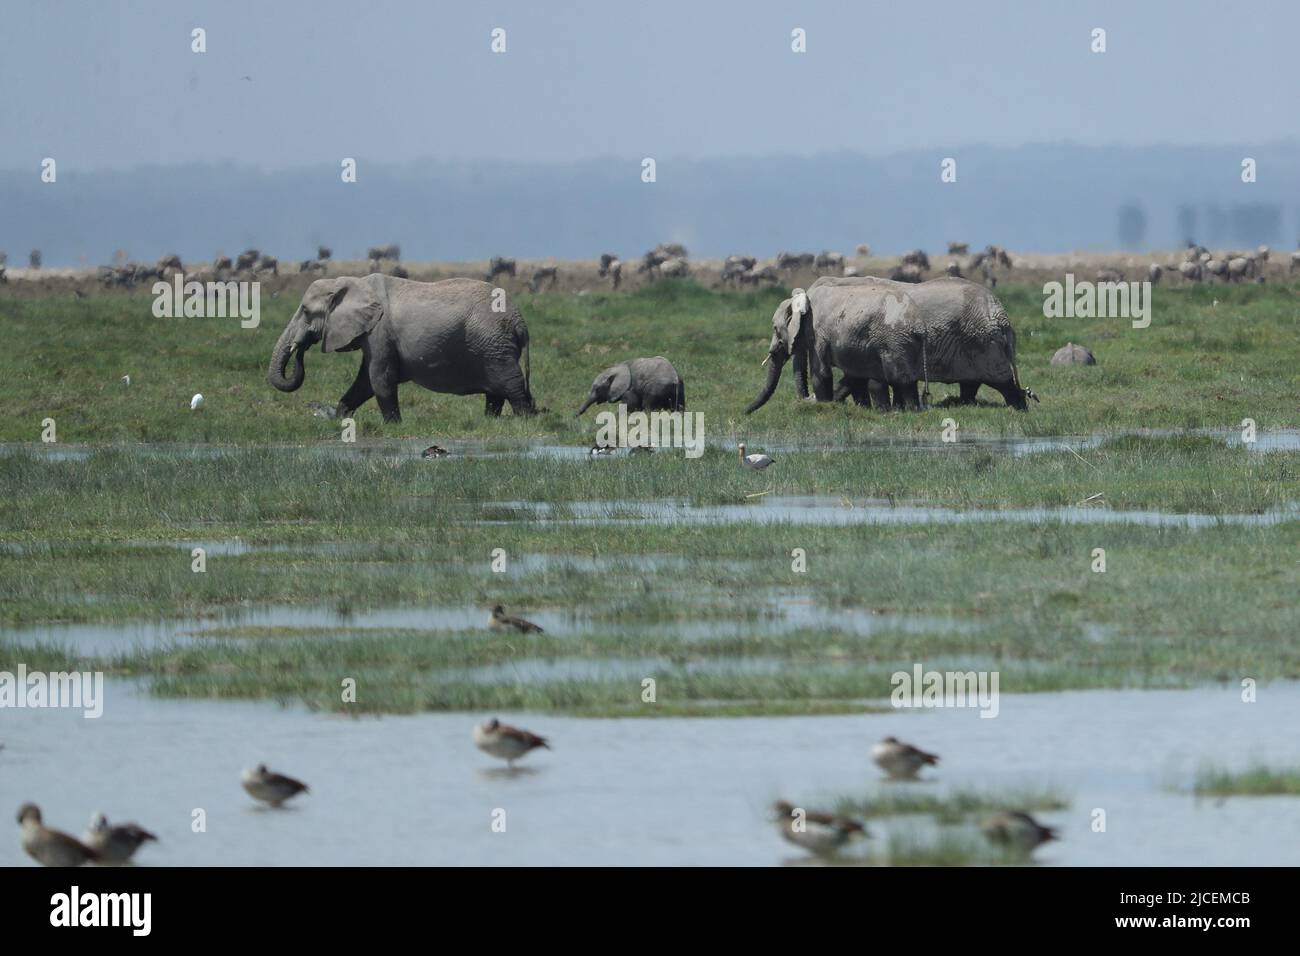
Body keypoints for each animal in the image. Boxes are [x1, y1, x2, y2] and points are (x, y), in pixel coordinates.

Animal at [269, 277, 533, 426]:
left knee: (511, 384)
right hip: (492, 344)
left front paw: (393, 426)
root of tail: (520, 322)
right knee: (496, 391)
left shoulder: (380, 332)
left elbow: (379, 378)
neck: (350, 283)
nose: (299, 346)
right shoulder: (373, 334)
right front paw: (340, 418)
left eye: (305, 311)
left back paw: (523, 421)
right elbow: (364, 381)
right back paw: (490, 421)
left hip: (493, 343)